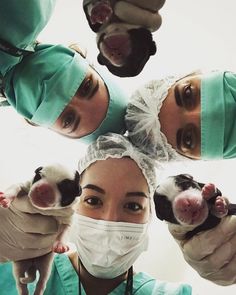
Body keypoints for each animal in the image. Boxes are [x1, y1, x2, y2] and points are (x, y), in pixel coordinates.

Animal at [0, 164, 81, 295]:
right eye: (39, 175)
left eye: (64, 187)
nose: (43, 188)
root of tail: (32, 265)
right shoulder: (26, 184)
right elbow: (16, 186)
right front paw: (6, 198)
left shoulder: (68, 217)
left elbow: (64, 232)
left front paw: (60, 245)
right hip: (19, 265)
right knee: (20, 282)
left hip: (46, 264)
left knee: (41, 282)